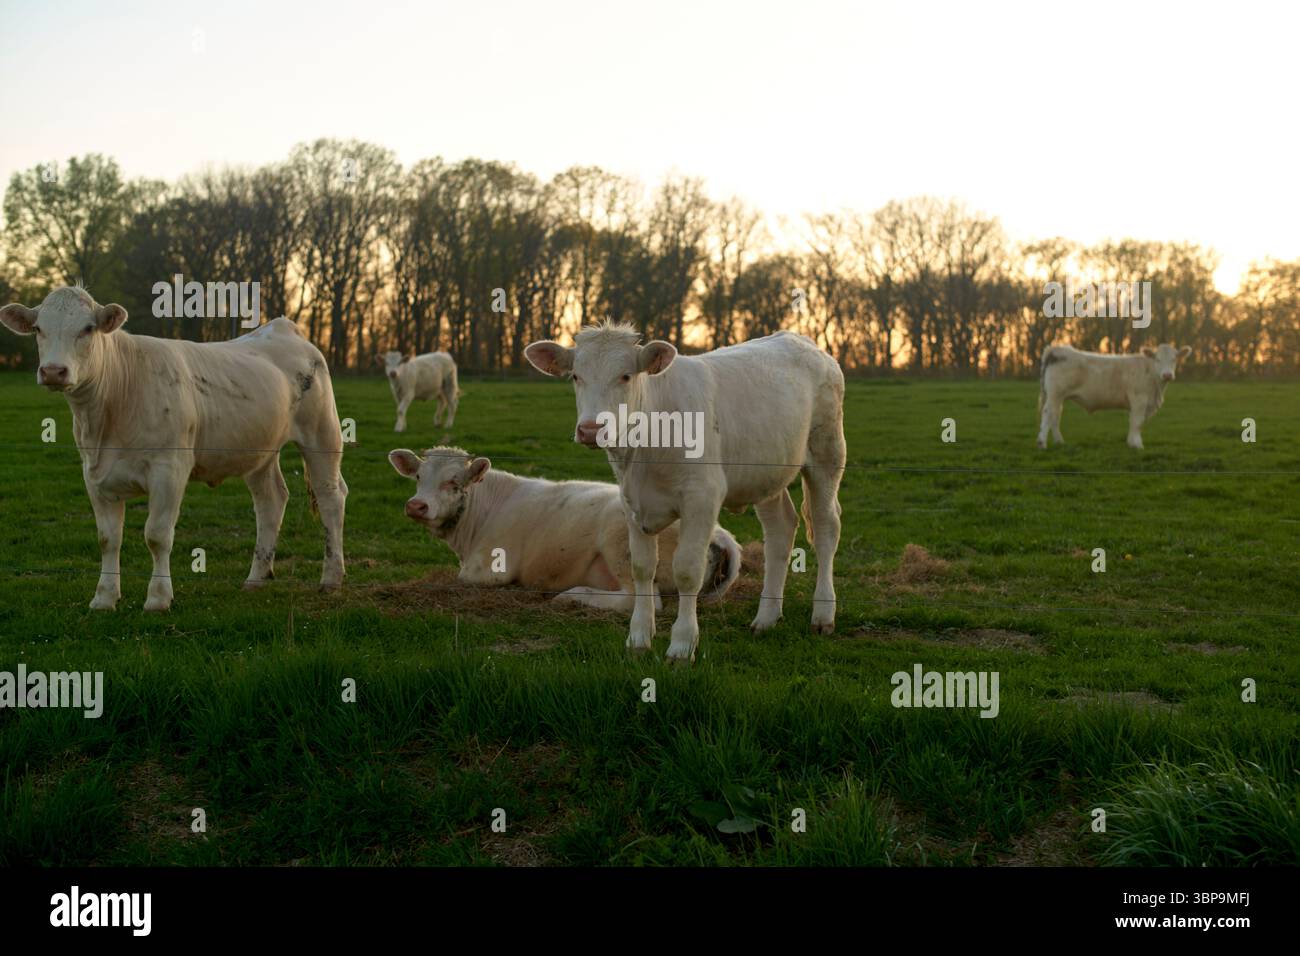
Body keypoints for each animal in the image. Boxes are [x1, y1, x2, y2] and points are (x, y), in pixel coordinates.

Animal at [0, 285, 348, 611]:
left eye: (87, 328)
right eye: (38, 329)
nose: (53, 371)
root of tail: (283, 327)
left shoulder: (169, 470)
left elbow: (157, 535)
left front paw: (158, 598)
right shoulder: (94, 475)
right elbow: (108, 539)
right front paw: (104, 598)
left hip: (322, 434)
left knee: (330, 495)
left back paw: (331, 578)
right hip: (259, 448)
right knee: (270, 500)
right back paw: (256, 578)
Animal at [388, 446, 742, 611]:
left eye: (454, 482)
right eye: (418, 476)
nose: (416, 506)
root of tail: (722, 534)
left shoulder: (489, 569)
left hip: (622, 544)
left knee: (641, 599)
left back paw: (571, 595)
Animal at [525, 323, 846, 662]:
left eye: (625, 376)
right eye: (576, 376)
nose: (590, 430)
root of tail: (799, 338)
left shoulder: (701, 499)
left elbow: (688, 570)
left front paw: (682, 644)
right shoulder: (631, 503)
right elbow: (642, 568)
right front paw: (638, 638)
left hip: (827, 452)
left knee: (826, 528)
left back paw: (823, 615)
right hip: (767, 473)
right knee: (780, 531)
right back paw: (766, 617)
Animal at [1038, 343, 1191, 450]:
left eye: (1174, 359)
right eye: (1157, 359)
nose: (1167, 375)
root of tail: (1056, 349)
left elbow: (1132, 422)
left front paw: (1131, 443)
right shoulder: (1139, 400)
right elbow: (1138, 422)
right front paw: (1138, 445)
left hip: (1058, 397)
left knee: (1055, 415)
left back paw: (1059, 442)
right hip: (1055, 394)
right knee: (1048, 413)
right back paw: (1042, 443)